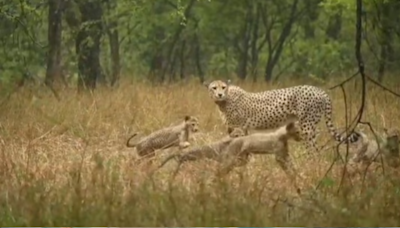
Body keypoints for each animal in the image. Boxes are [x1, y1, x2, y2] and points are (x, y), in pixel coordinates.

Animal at [203, 79, 360, 153]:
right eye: (214, 88)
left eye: (223, 87)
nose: (219, 94)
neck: (225, 101)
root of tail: (319, 90)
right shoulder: (240, 129)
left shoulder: (239, 128)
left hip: (307, 126)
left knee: (313, 148)